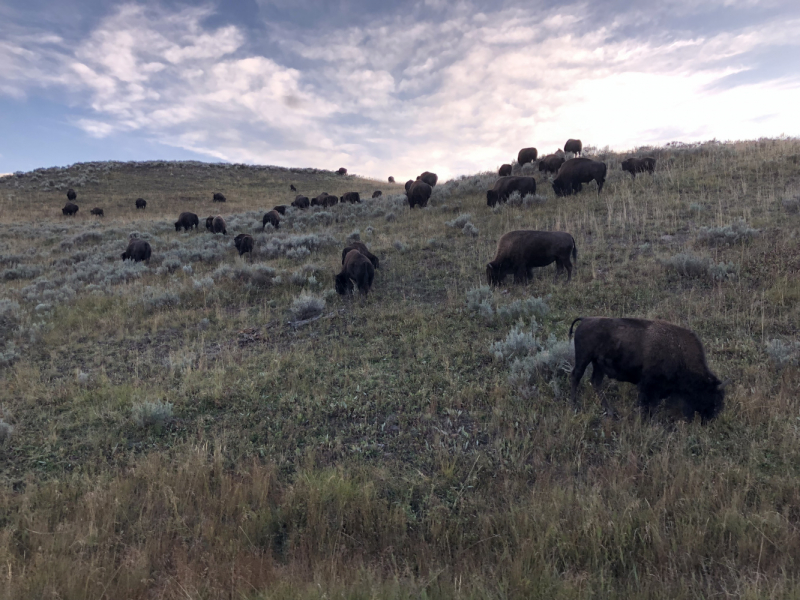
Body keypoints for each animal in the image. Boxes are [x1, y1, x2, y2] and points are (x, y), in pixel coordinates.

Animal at [568, 318, 724, 422]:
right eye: (709, 393)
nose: (711, 416)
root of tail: (586, 319)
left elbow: (652, 404)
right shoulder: (649, 385)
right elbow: (647, 403)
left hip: (598, 364)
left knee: (596, 382)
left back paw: (610, 412)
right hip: (584, 358)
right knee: (576, 377)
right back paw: (574, 406)